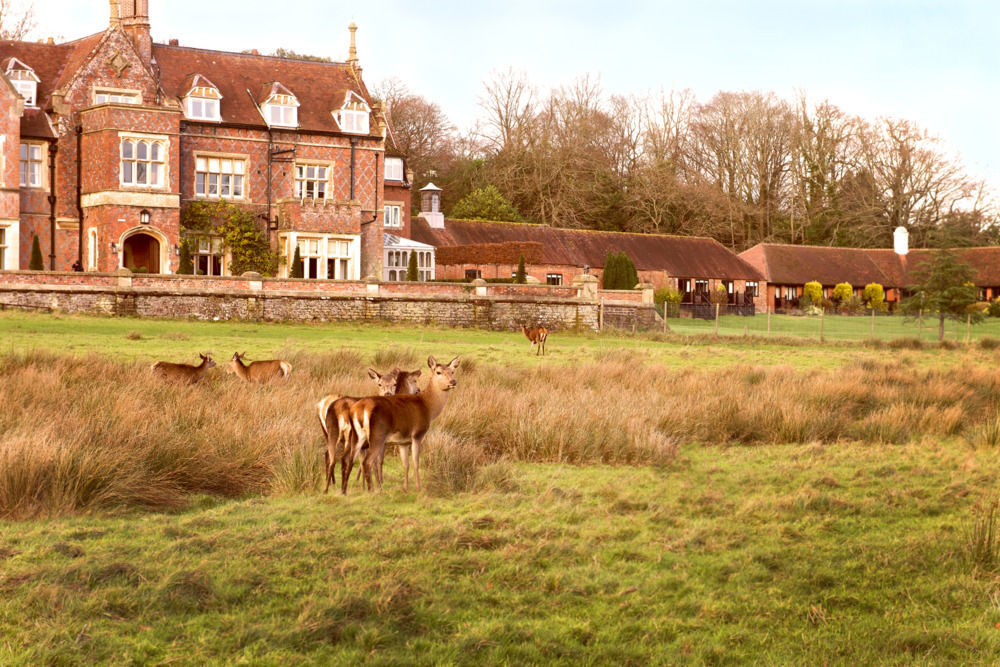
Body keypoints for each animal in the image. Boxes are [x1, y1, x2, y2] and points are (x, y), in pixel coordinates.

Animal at [342, 354, 456, 496]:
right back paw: (372, 490)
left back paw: (345, 491)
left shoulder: (403, 442)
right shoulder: (417, 434)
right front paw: (418, 488)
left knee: (351, 459)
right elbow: (416, 462)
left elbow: (405, 464)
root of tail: (359, 408)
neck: (428, 408)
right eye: (438, 372)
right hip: (377, 436)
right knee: (368, 461)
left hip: (357, 436)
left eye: (453, 371)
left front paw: (406, 488)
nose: (453, 382)